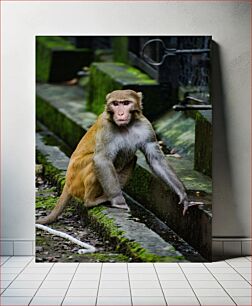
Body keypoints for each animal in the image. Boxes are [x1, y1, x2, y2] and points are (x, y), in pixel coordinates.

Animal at [36, 88, 201, 225]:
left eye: (126, 103)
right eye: (115, 104)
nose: (120, 113)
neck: (126, 126)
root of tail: (68, 183)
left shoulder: (146, 126)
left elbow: (156, 159)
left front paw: (183, 195)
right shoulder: (106, 128)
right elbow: (101, 159)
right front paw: (118, 200)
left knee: (132, 159)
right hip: (77, 179)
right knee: (95, 162)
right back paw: (92, 201)